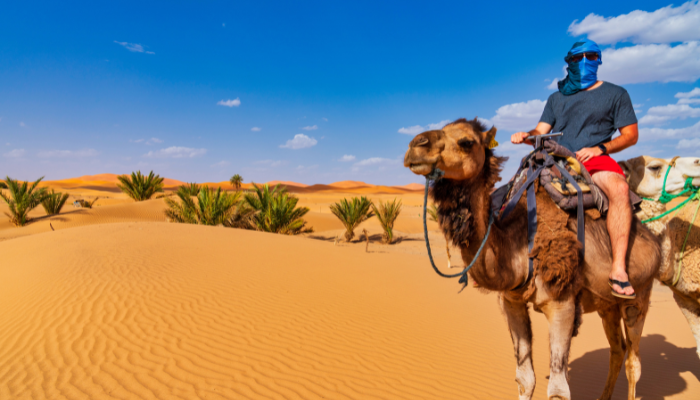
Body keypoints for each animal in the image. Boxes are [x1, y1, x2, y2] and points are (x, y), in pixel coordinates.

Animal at [404, 118, 661, 400]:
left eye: (466, 141)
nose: (416, 144)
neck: (520, 247)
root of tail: (652, 240)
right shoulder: (512, 301)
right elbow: (525, 378)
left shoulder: (562, 303)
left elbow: (558, 389)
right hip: (607, 306)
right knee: (618, 350)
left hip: (640, 294)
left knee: (633, 362)